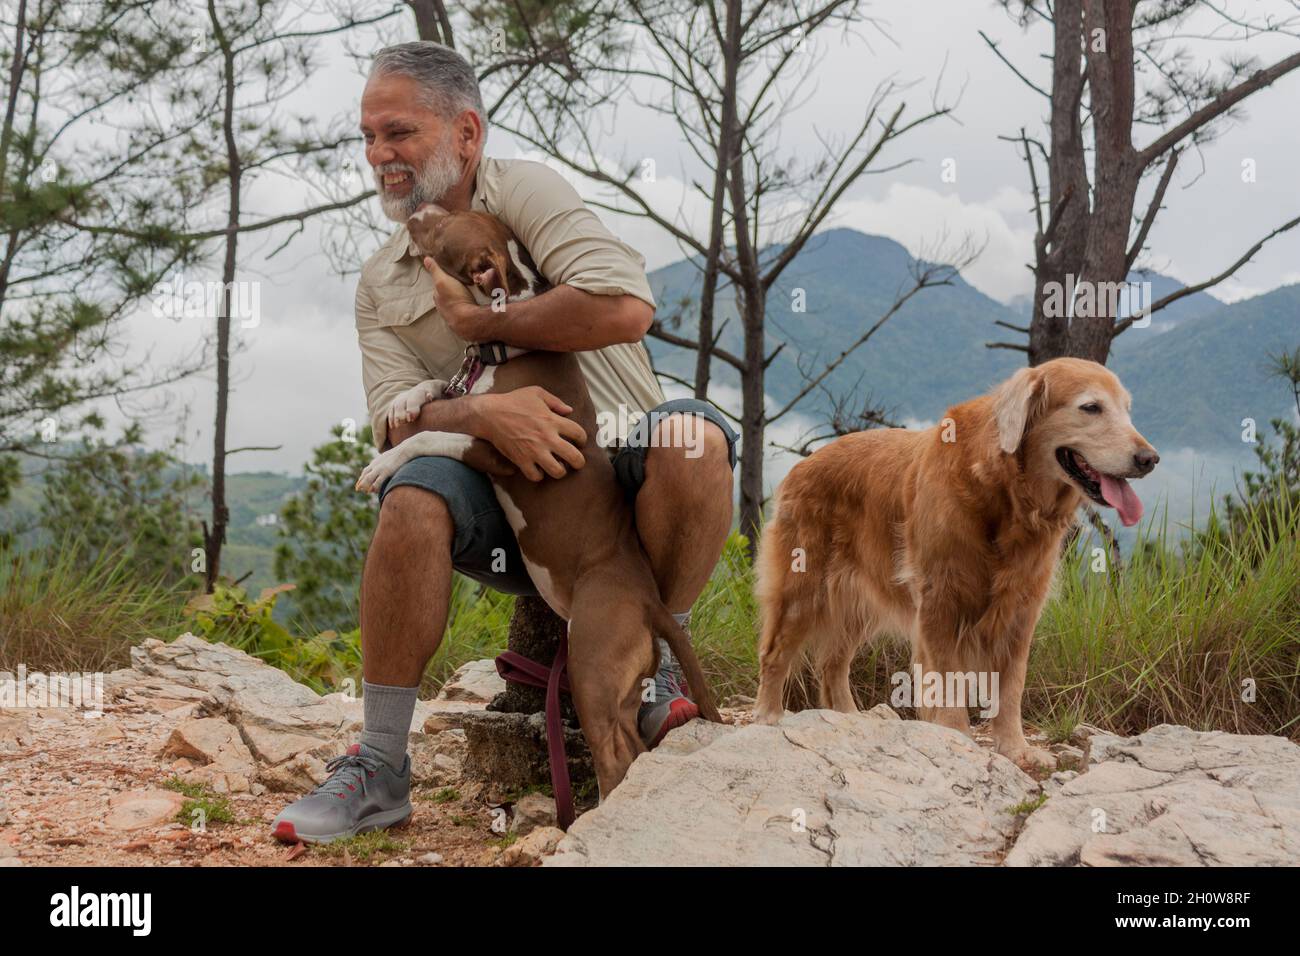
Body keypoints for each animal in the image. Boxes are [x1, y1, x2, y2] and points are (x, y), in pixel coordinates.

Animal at [754, 358, 1159, 770]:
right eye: (1091, 407)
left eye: (1127, 409)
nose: (1150, 459)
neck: (1004, 494)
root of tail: (802, 465)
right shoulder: (941, 601)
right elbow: (948, 681)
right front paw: (956, 738)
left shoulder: (1020, 609)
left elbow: (1010, 686)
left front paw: (1015, 748)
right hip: (802, 588)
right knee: (774, 654)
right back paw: (768, 715)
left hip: (858, 601)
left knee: (832, 664)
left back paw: (850, 718)